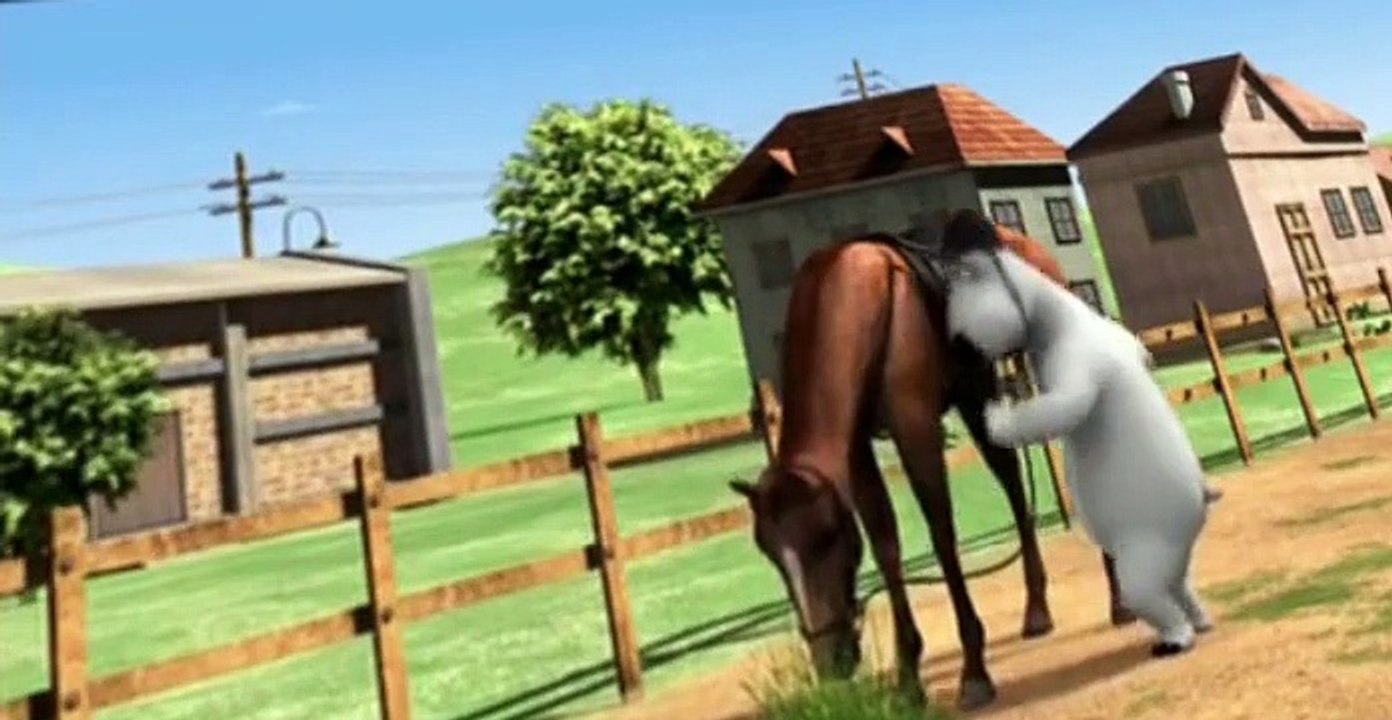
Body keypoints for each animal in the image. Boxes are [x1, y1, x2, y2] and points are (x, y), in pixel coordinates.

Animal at [728, 210, 1130, 711]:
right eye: (771, 553)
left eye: (825, 540)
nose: (830, 661)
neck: (863, 305)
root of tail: (1031, 248)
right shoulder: (858, 451)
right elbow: (887, 548)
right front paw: (907, 679)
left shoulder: (915, 426)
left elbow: (942, 535)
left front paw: (973, 672)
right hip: (976, 392)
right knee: (1011, 479)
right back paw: (1037, 609)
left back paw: (1119, 601)